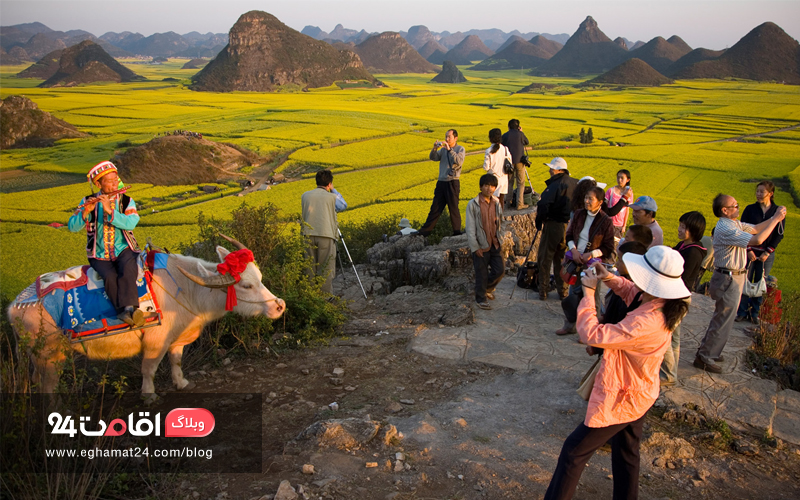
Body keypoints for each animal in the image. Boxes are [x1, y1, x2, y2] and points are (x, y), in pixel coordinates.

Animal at [7, 236, 284, 400]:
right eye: (246, 285)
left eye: (259, 277)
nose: (279, 306)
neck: (186, 288)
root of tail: (15, 306)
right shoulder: (155, 341)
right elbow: (149, 368)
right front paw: (149, 394)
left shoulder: (175, 339)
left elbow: (176, 361)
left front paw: (181, 383)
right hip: (50, 358)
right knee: (47, 388)